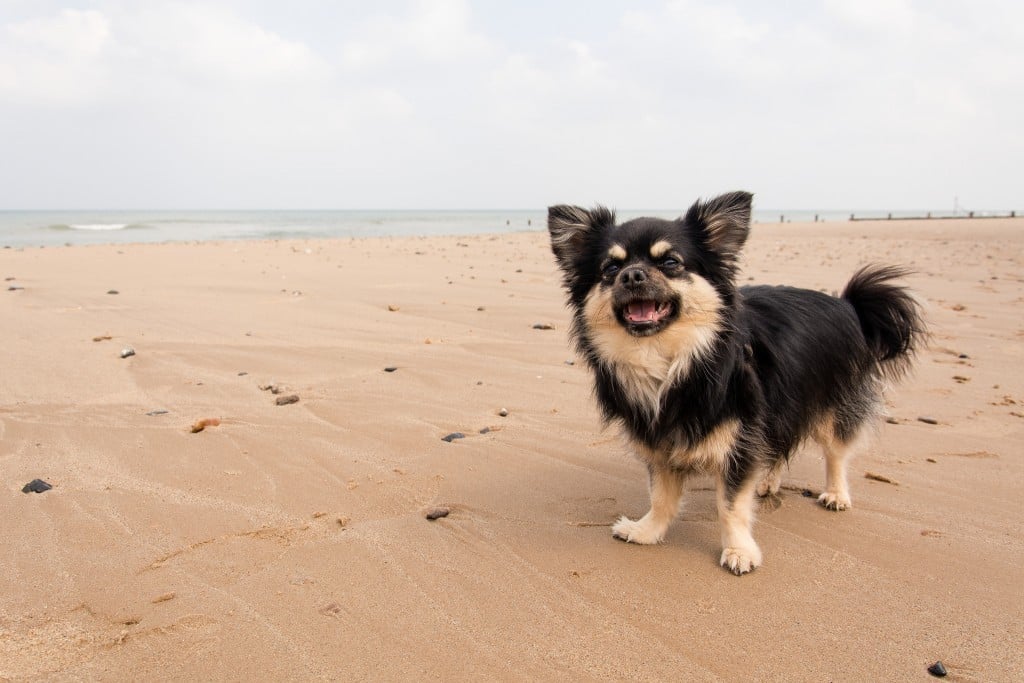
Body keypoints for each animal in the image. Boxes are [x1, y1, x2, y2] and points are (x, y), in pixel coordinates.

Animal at [548, 192, 925, 577]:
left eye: (670, 262)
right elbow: (661, 496)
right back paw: (768, 481)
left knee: (835, 452)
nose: (632, 274)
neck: (668, 361)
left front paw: (739, 550)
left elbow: (730, 505)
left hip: (832, 404)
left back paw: (835, 494)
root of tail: (848, 304)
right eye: (610, 269)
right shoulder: (661, 440)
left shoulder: (739, 440)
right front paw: (647, 531)